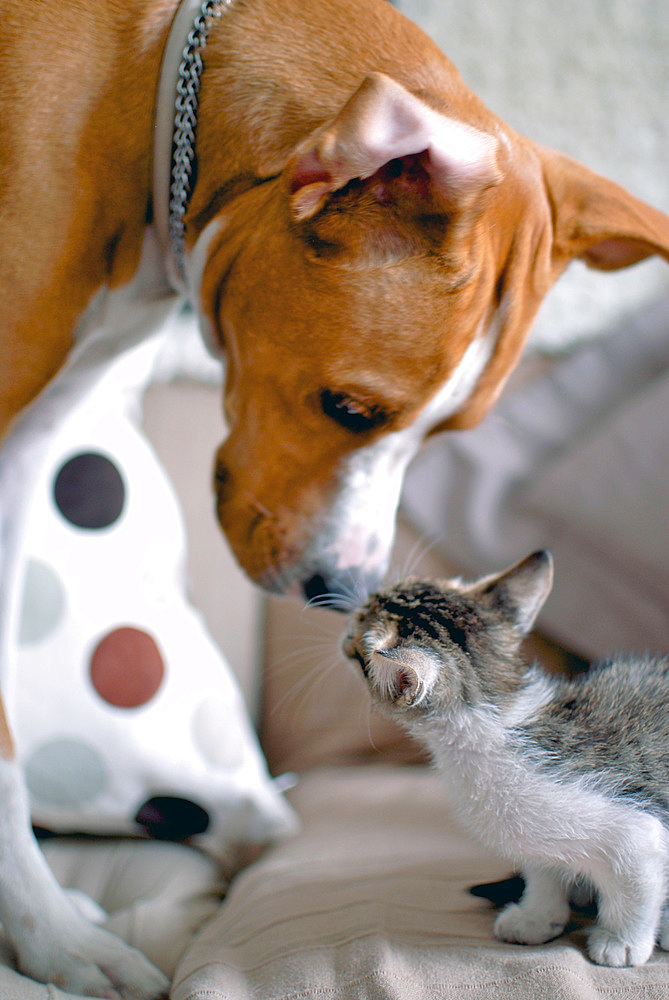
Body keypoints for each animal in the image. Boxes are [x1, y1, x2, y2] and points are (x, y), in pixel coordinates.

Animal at [342, 552, 668, 964]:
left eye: (358, 632)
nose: (345, 626)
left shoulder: (636, 833)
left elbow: (635, 889)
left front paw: (621, 941)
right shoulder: (535, 835)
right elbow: (543, 871)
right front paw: (537, 917)